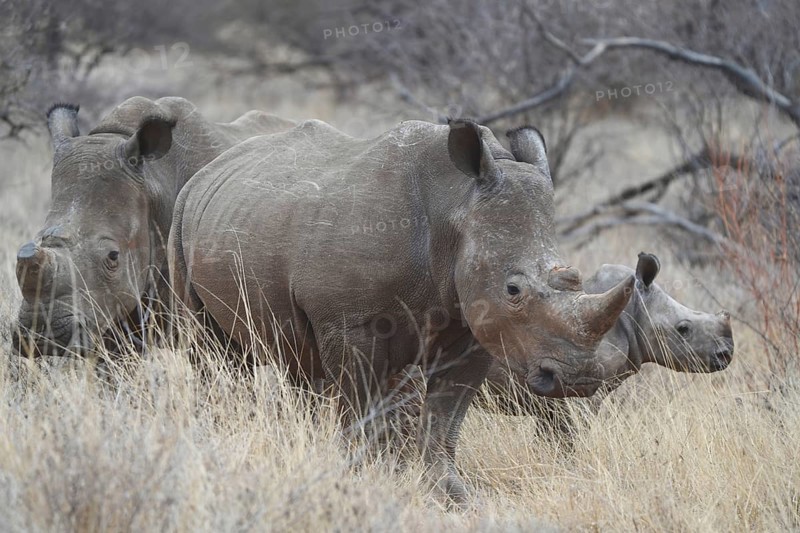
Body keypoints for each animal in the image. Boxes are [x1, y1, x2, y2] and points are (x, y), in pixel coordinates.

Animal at [169, 118, 635, 502]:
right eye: (513, 289)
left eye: (575, 278)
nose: (577, 379)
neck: (456, 207)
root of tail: (206, 173)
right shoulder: (350, 323)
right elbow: (362, 409)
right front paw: (360, 481)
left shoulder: (473, 327)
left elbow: (446, 417)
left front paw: (451, 495)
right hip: (180, 219)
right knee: (211, 350)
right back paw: (213, 441)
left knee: (297, 361)